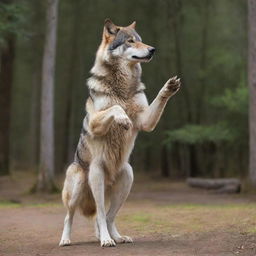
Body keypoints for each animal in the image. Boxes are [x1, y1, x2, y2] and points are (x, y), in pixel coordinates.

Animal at [59, 19, 181, 247]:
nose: (153, 49)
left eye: (141, 40)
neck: (122, 85)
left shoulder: (145, 121)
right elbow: (115, 108)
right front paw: (123, 119)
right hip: (89, 178)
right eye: (130, 41)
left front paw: (169, 87)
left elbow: (157, 100)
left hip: (127, 177)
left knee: (108, 216)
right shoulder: (96, 121)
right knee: (78, 215)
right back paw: (79, 240)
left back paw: (115, 236)